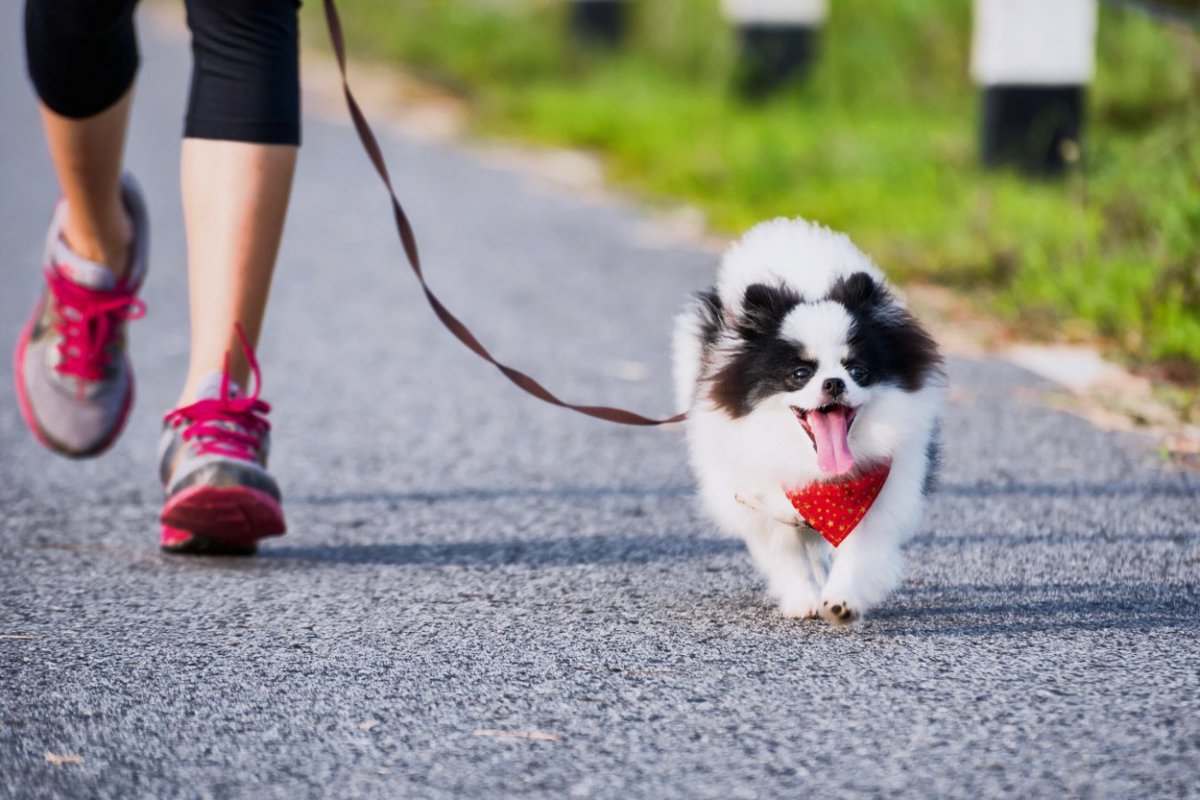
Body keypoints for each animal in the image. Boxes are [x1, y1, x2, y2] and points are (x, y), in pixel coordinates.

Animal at [672, 219, 940, 623]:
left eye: (857, 370)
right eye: (800, 374)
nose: (833, 383)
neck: (820, 473)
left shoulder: (879, 499)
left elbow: (858, 551)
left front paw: (841, 601)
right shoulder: (765, 504)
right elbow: (789, 557)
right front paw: (804, 600)